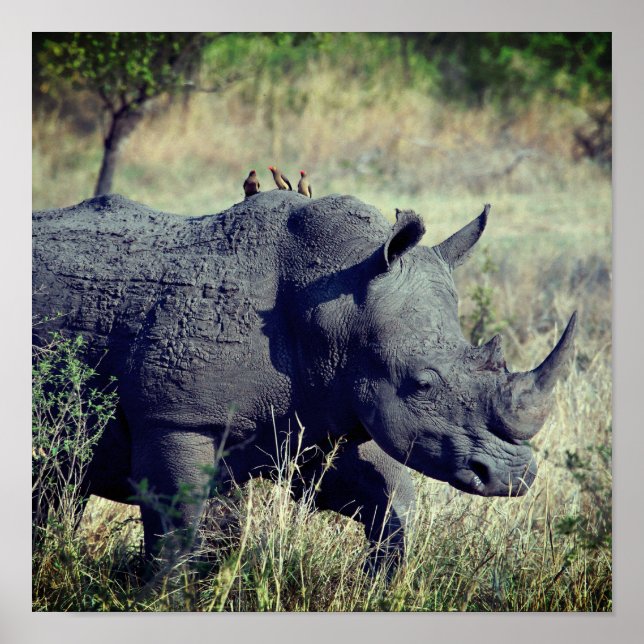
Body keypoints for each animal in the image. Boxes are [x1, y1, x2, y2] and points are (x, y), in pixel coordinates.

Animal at [32, 191, 576, 568]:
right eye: (422, 384)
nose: (512, 477)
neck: (337, 305)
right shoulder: (176, 418)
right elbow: (177, 531)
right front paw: (165, 599)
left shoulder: (322, 411)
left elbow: (391, 502)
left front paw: (377, 587)